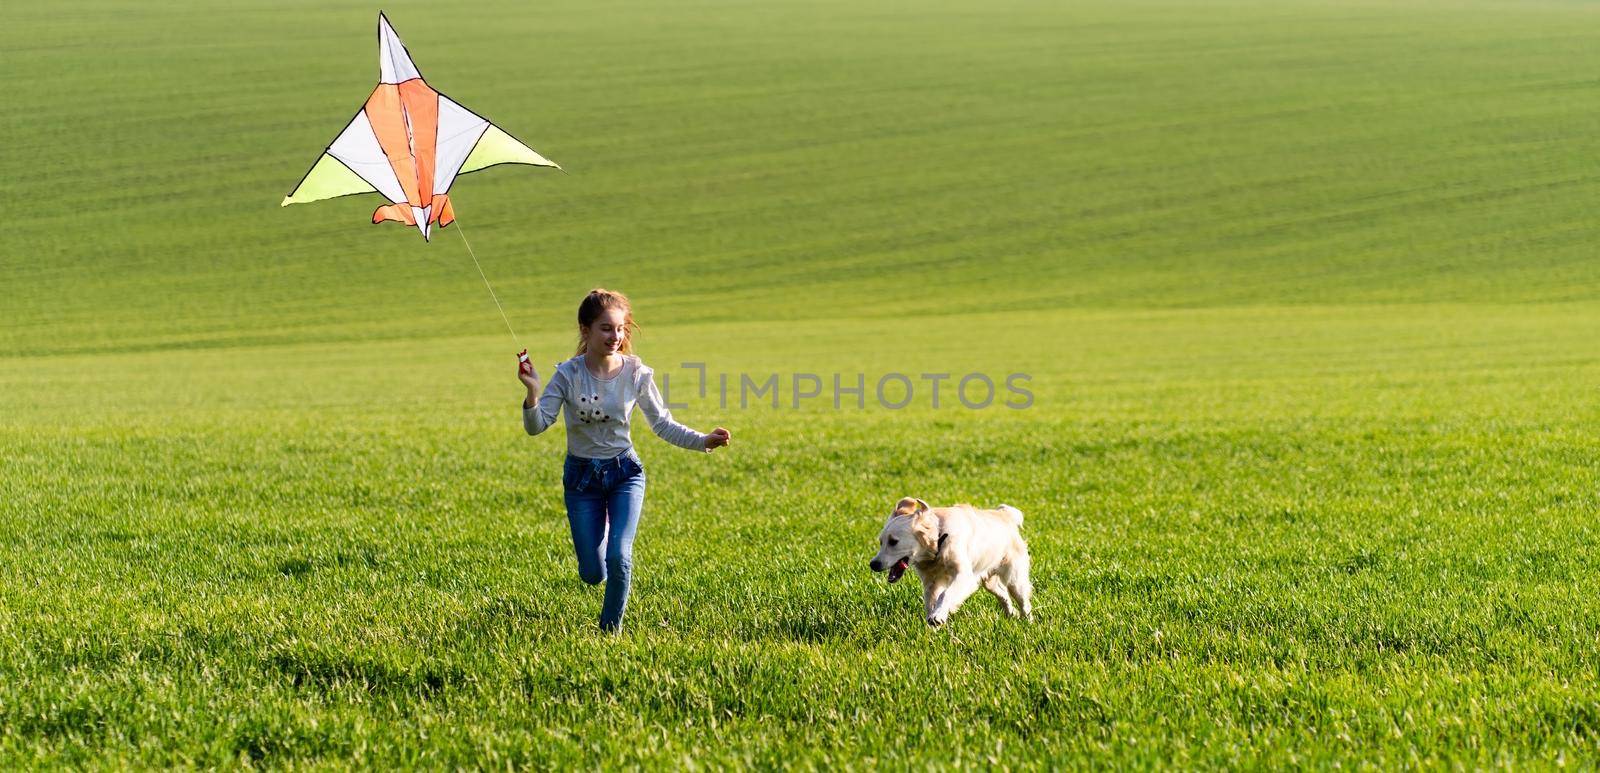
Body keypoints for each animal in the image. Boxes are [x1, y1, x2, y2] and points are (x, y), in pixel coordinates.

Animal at [870, 499, 1030, 627]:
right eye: (881, 542)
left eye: (893, 542)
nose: (873, 564)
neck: (938, 542)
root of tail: (1005, 515)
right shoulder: (931, 583)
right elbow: (930, 603)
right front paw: (933, 626)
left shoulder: (964, 575)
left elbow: (946, 594)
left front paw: (938, 616)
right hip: (989, 582)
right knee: (1003, 595)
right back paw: (1011, 614)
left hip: (1014, 579)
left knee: (1024, 602)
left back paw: (1027, 622)